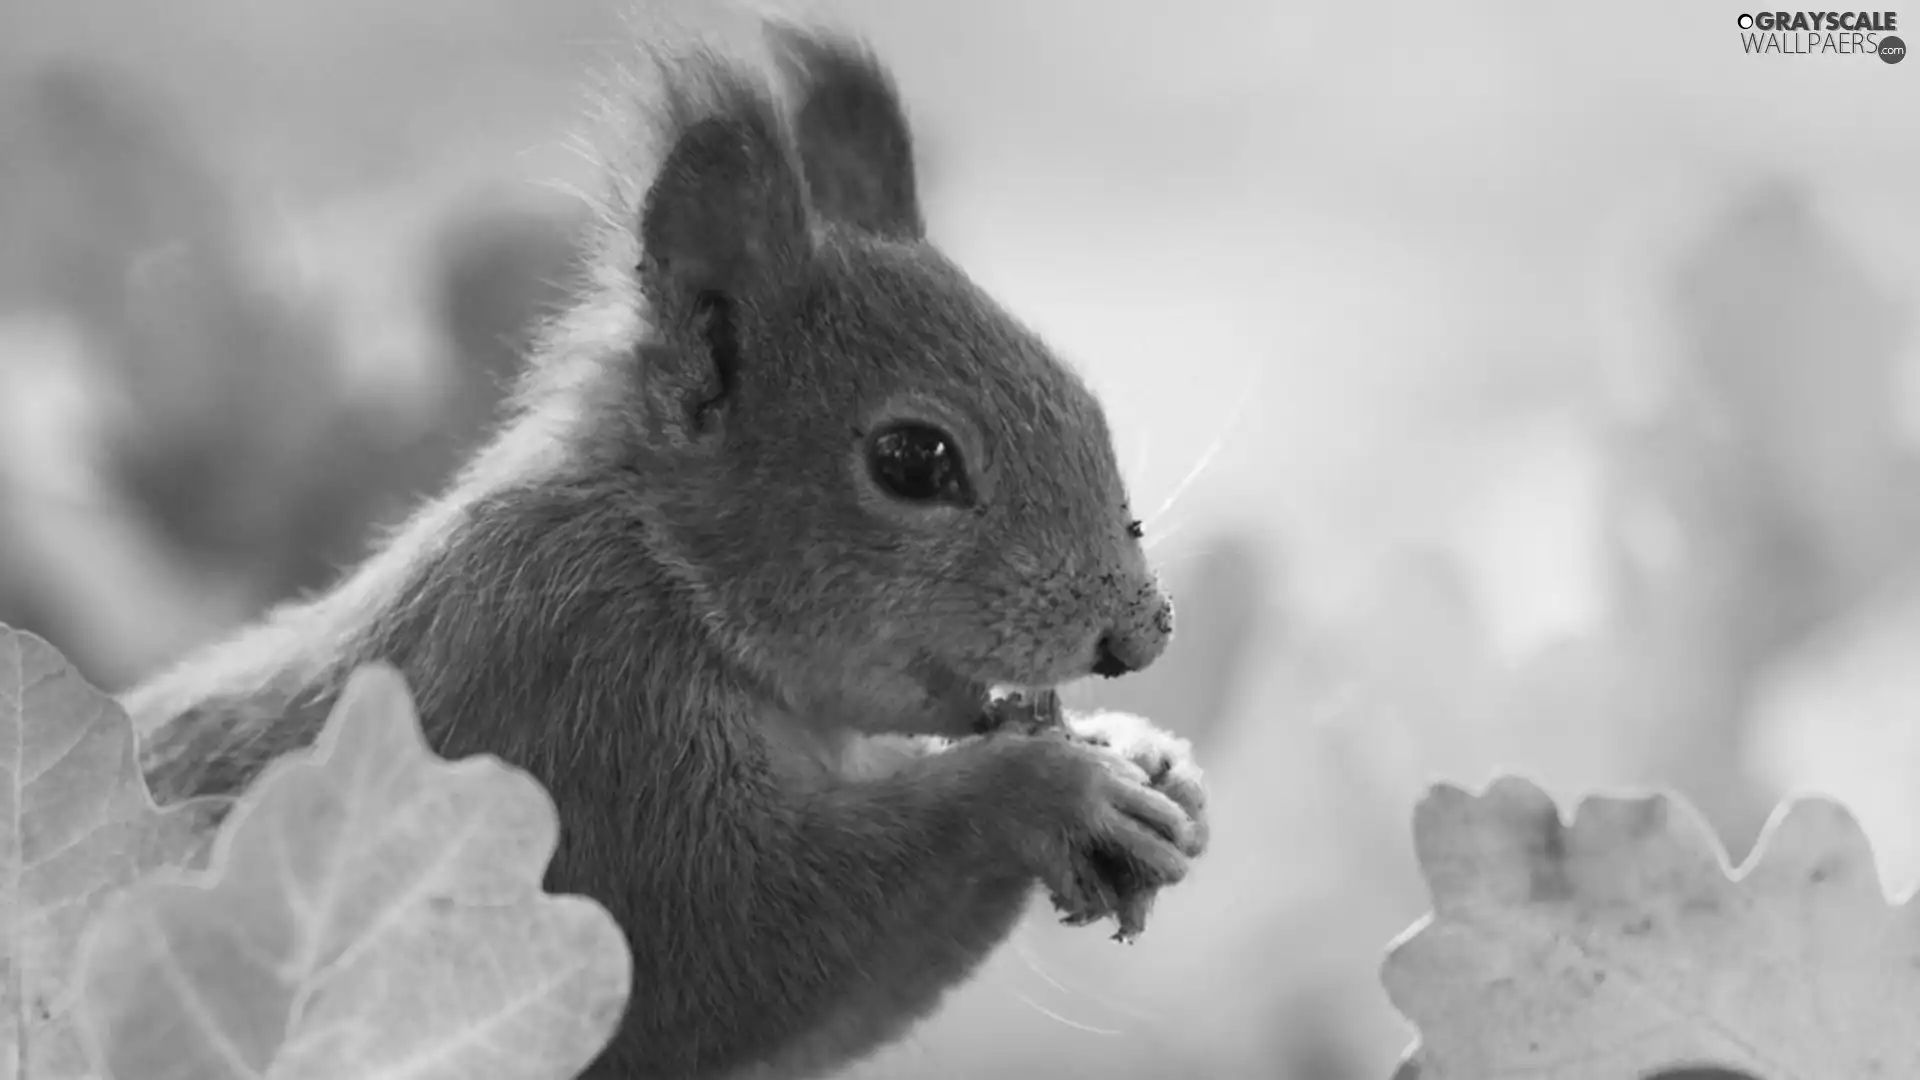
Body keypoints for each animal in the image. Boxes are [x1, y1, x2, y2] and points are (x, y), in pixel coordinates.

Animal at [127, 18, 1213, 1076]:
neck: (664, 568)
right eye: (913, 460)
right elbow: (719, 941)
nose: (1139, 633)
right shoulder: (570, 705)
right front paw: (1052, 792)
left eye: (1084, 400)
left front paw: (1143, 755)